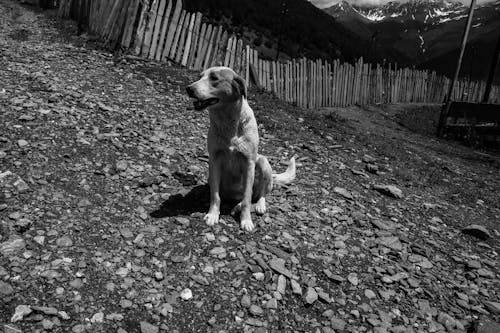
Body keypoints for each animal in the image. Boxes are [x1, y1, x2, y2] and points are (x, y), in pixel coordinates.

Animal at [188, 65, 296, 231]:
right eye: (200, 77)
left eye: (214, 78)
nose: (188, 89)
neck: (229, 122)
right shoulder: (214, 160)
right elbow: (215, 195)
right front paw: (213, 215)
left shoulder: (249, 163)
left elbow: (247, 198)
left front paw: (246, 221)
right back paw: (236, 206)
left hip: (263, 162)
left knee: (259, 194)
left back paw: (256, 206)